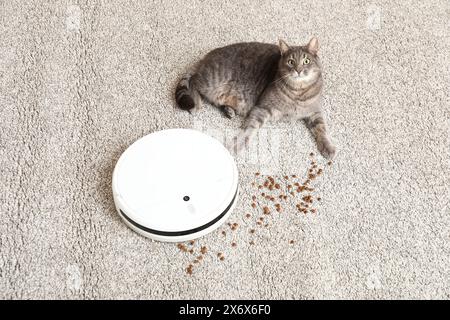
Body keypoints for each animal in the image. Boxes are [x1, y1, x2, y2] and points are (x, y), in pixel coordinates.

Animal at [174, 37, 336, 159]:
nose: (298, 70)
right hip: (212, 81)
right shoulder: (262, 108)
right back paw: (196, 103)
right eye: (290, 62)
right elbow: (249, 130)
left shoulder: (315, 112)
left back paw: (228, 110)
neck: (298, 92)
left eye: (306, 61)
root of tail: (204, 59)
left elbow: (322, 129)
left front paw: (327, 147)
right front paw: (237, 145)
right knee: (194, 81)